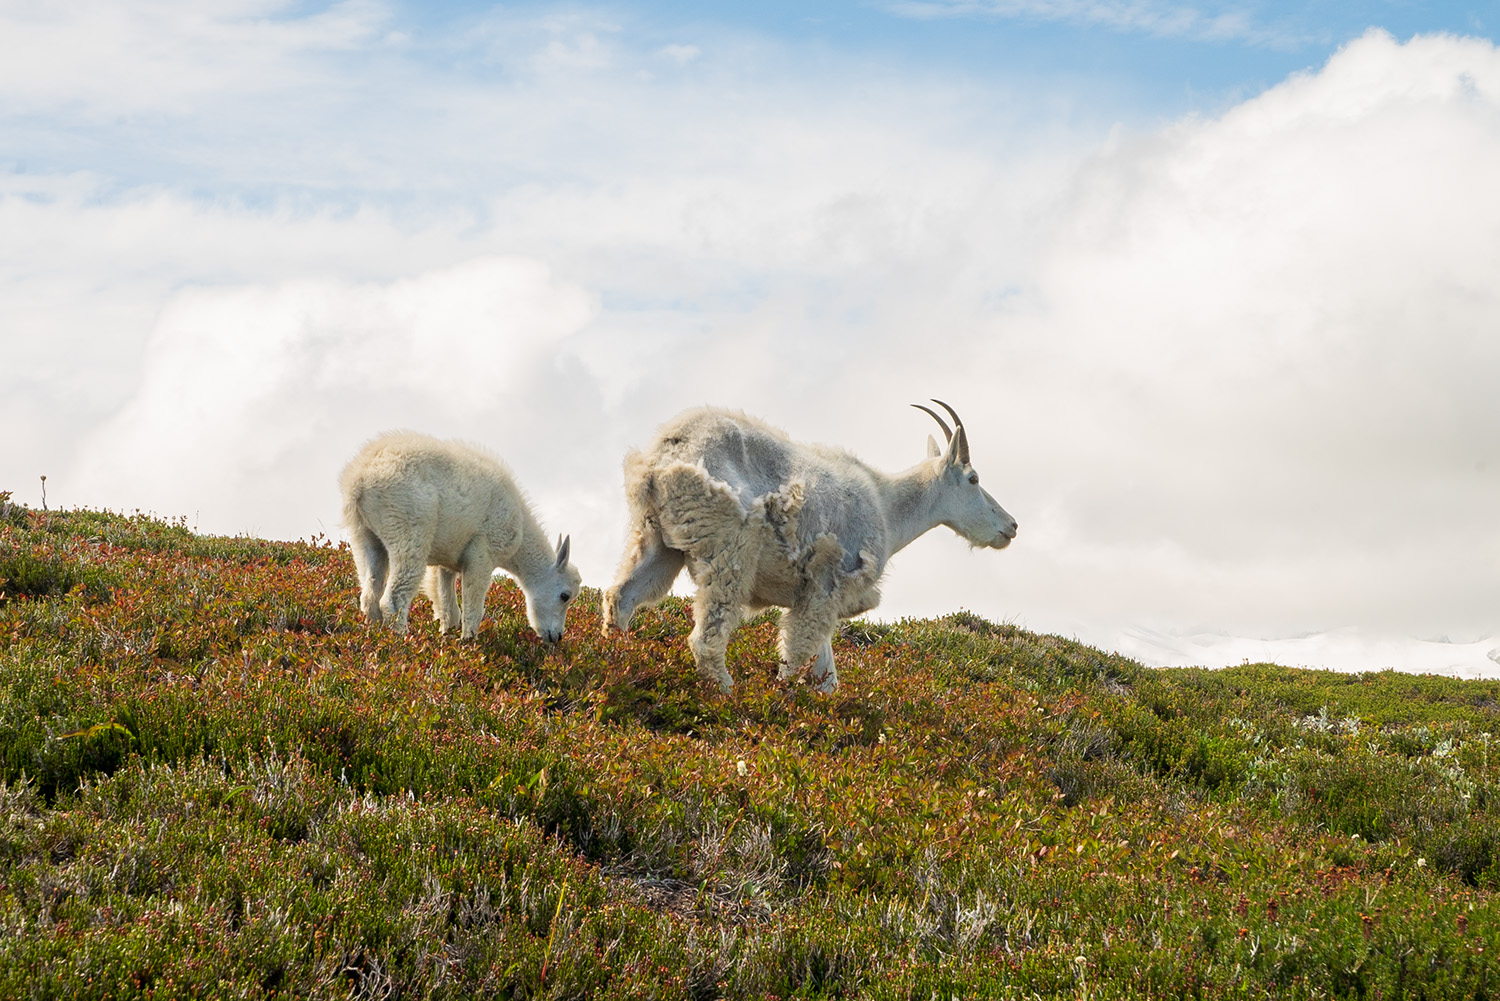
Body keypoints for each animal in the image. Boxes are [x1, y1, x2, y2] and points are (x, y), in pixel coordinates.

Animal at [339, 432, 581, 642]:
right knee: (394, 599)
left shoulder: (447, 562)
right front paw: (469, 642)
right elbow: (473, 608)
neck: (520, 535)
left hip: (365, 536)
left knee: (370, 594)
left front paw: (447, 638)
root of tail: (359, 481)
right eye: (565, 595)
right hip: (407, 531)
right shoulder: (482, 552)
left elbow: (448, 608)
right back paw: (402, 640)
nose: (556, 636)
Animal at [603, 402, 1017, 692]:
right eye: (973, 479)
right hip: (729, 550)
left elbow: (825, 667)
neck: (888, 506)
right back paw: (729, 693)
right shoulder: (828, 584)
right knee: (706, 636)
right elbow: (797, 654)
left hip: (657, 540)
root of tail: (663, 457)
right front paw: (783, 699)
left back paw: (615, 658)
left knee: (621, 596)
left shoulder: (817, 596)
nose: (1010, 526)